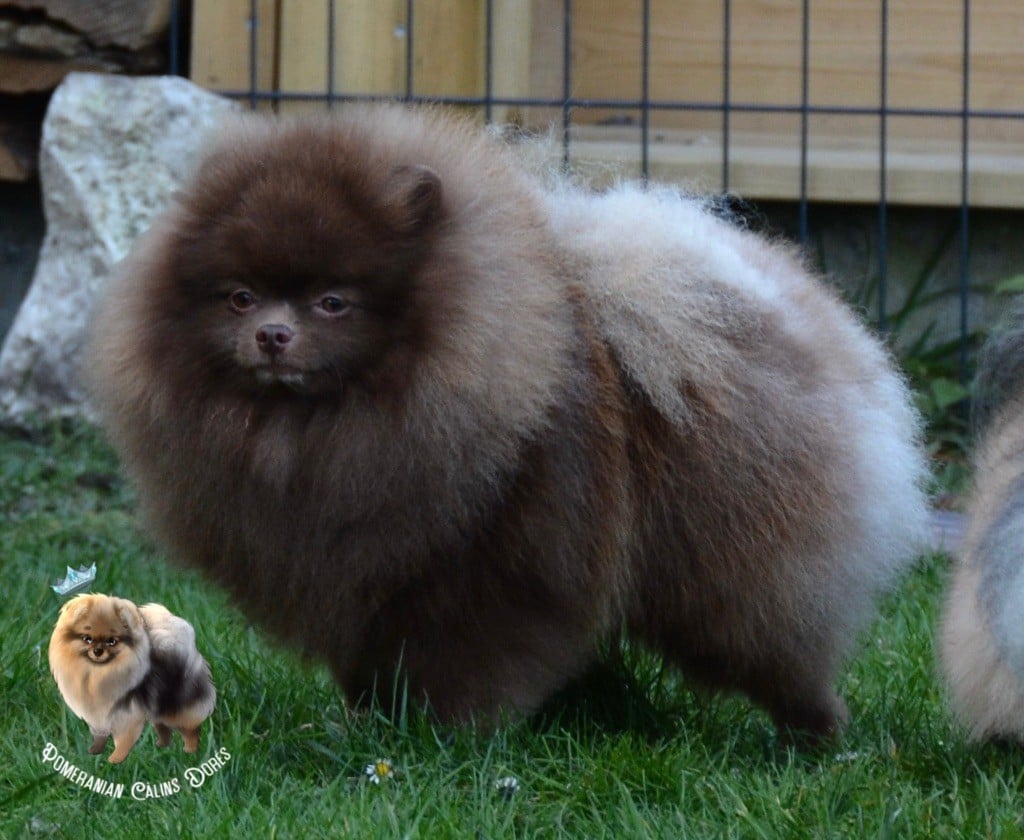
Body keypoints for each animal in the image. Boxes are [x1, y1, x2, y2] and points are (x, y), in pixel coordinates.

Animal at [49, 594, 216, 766]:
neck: (95, 675)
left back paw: (190, 750)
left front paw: (115, 760)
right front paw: (95, 751)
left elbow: (123, 741)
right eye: (87, 639)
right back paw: (162, 746)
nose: (97, 651)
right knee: (163, 726)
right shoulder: (99, 715)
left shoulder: (126, 718)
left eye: (112, 641)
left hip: (179, 708)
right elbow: (100, 735)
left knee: (190, 729)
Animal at [88, 103, 933, 733]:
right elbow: (370, 660)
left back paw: (816, 736)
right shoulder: (361, 576)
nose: (271, 334)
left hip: (733, 571)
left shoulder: (496, 569)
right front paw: (370, 725)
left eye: (333, 301)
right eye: (239, 297)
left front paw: (450, 738)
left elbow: (474, 660)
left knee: (776, 651)